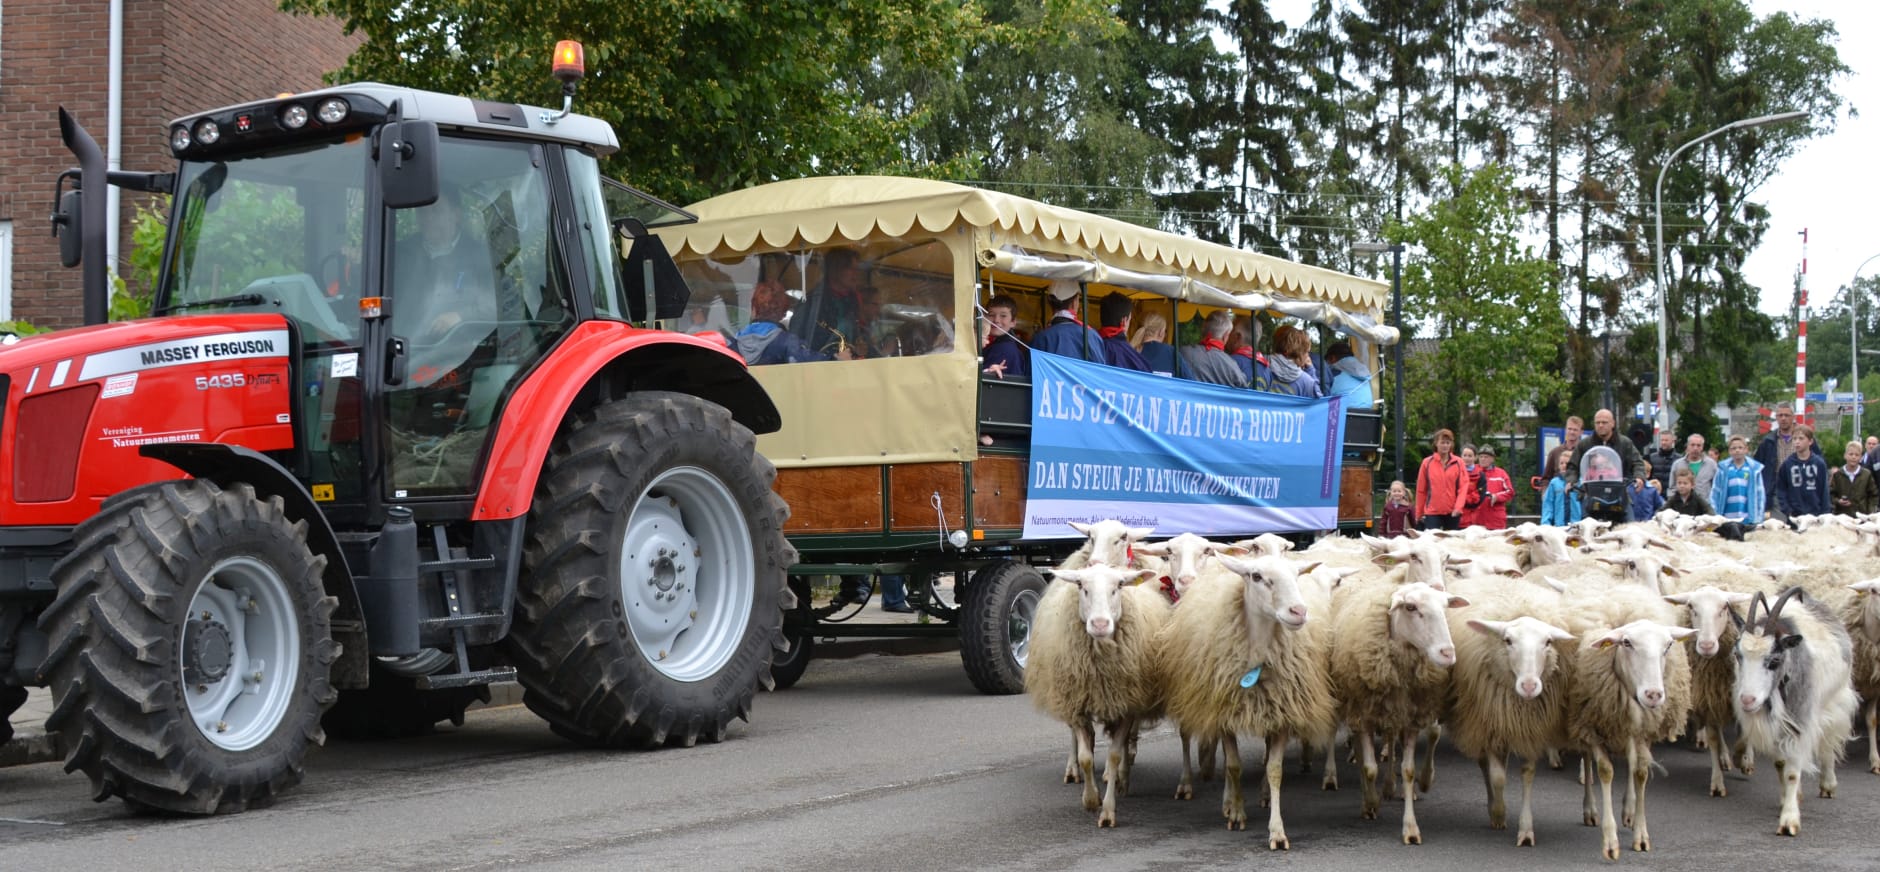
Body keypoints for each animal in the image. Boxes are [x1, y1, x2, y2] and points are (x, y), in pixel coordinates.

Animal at [1022, 563, 1165, 823]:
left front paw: (1108, 809)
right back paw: (1073, 771)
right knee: (1078, 737)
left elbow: (1115, 755)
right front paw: (1090, 799)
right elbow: (1086, 757)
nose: (1099, 624)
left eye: (1119, 586)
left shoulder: (1126, 705)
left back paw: (1122, 778)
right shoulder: (1076, 703)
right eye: (1081, 586)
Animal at [1158, 556, 1338, 849]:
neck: (1258, 658)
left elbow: (1274, 769)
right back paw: (1227, 802)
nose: (1299, 611)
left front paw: (1277, 831)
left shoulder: (1282, 715)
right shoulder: (1223, 713)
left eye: (1296, 575)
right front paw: (1237, 813)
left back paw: (1262, 795)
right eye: (1256, 576)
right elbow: (1233, 766)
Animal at [1331, 575, 1458, 841]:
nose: (1447, 653)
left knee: (1390, 741)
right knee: (1364, 755)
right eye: (1411, 607)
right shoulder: (1365, 716)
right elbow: (1369, 768)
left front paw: (1410, 828)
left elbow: (1408, 771)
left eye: (1445, 607)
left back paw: (1390, 786)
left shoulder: (1410, 718)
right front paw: (1371, 803)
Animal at [1729, 586, 1864, 838]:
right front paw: (1786, 800)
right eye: (1738, 655)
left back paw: (1828, 784)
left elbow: (1793, 771)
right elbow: (1781, 764)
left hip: (1835, 701)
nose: (1747, 700)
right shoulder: (1776, 726)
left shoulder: (1801, 719)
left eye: (1774, 660)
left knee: (1828, 743)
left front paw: (1789, 821)